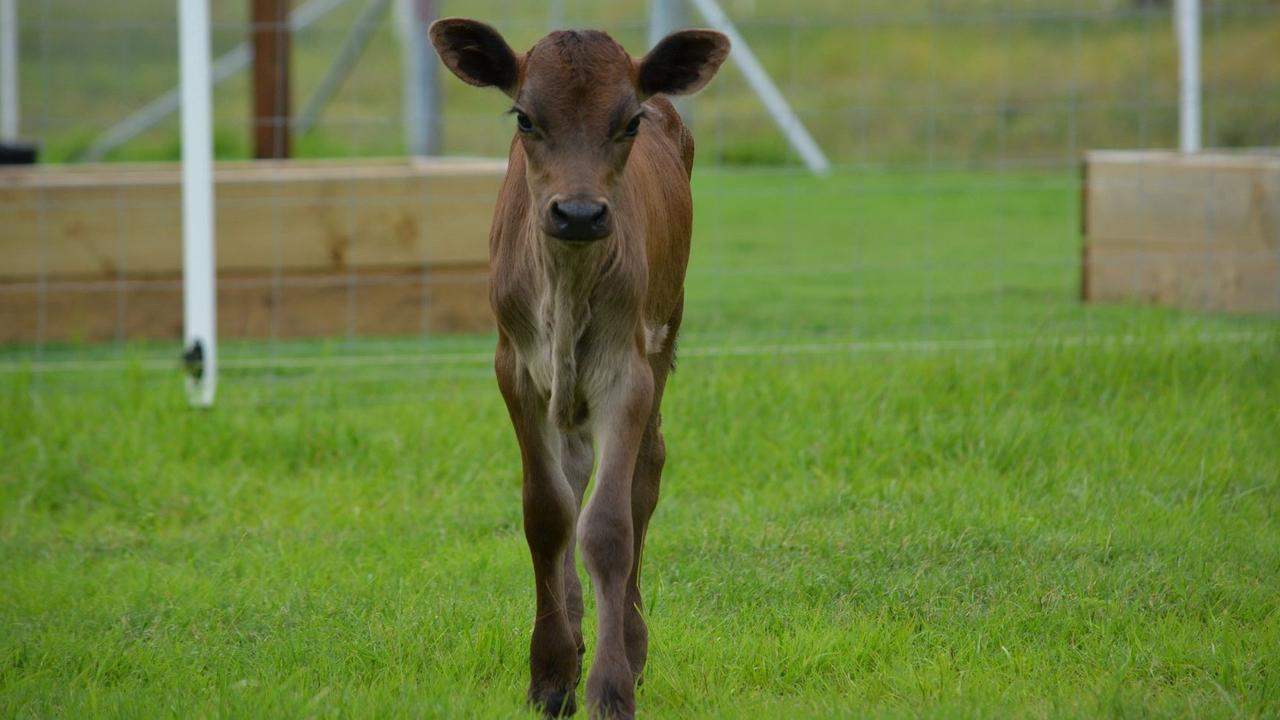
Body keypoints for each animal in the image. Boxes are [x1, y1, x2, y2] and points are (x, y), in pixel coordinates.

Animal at [432, 16, 727, 717]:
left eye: (629, 121)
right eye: (524, 117)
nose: (579, 213)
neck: (565, 291)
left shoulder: (628, 373)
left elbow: (610, 527)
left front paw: (611, 686)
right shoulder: (514, 370)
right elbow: (547, 514)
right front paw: (550, 674)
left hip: (664, 337)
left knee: (646, 472)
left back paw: (631, 643)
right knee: (572, 475)